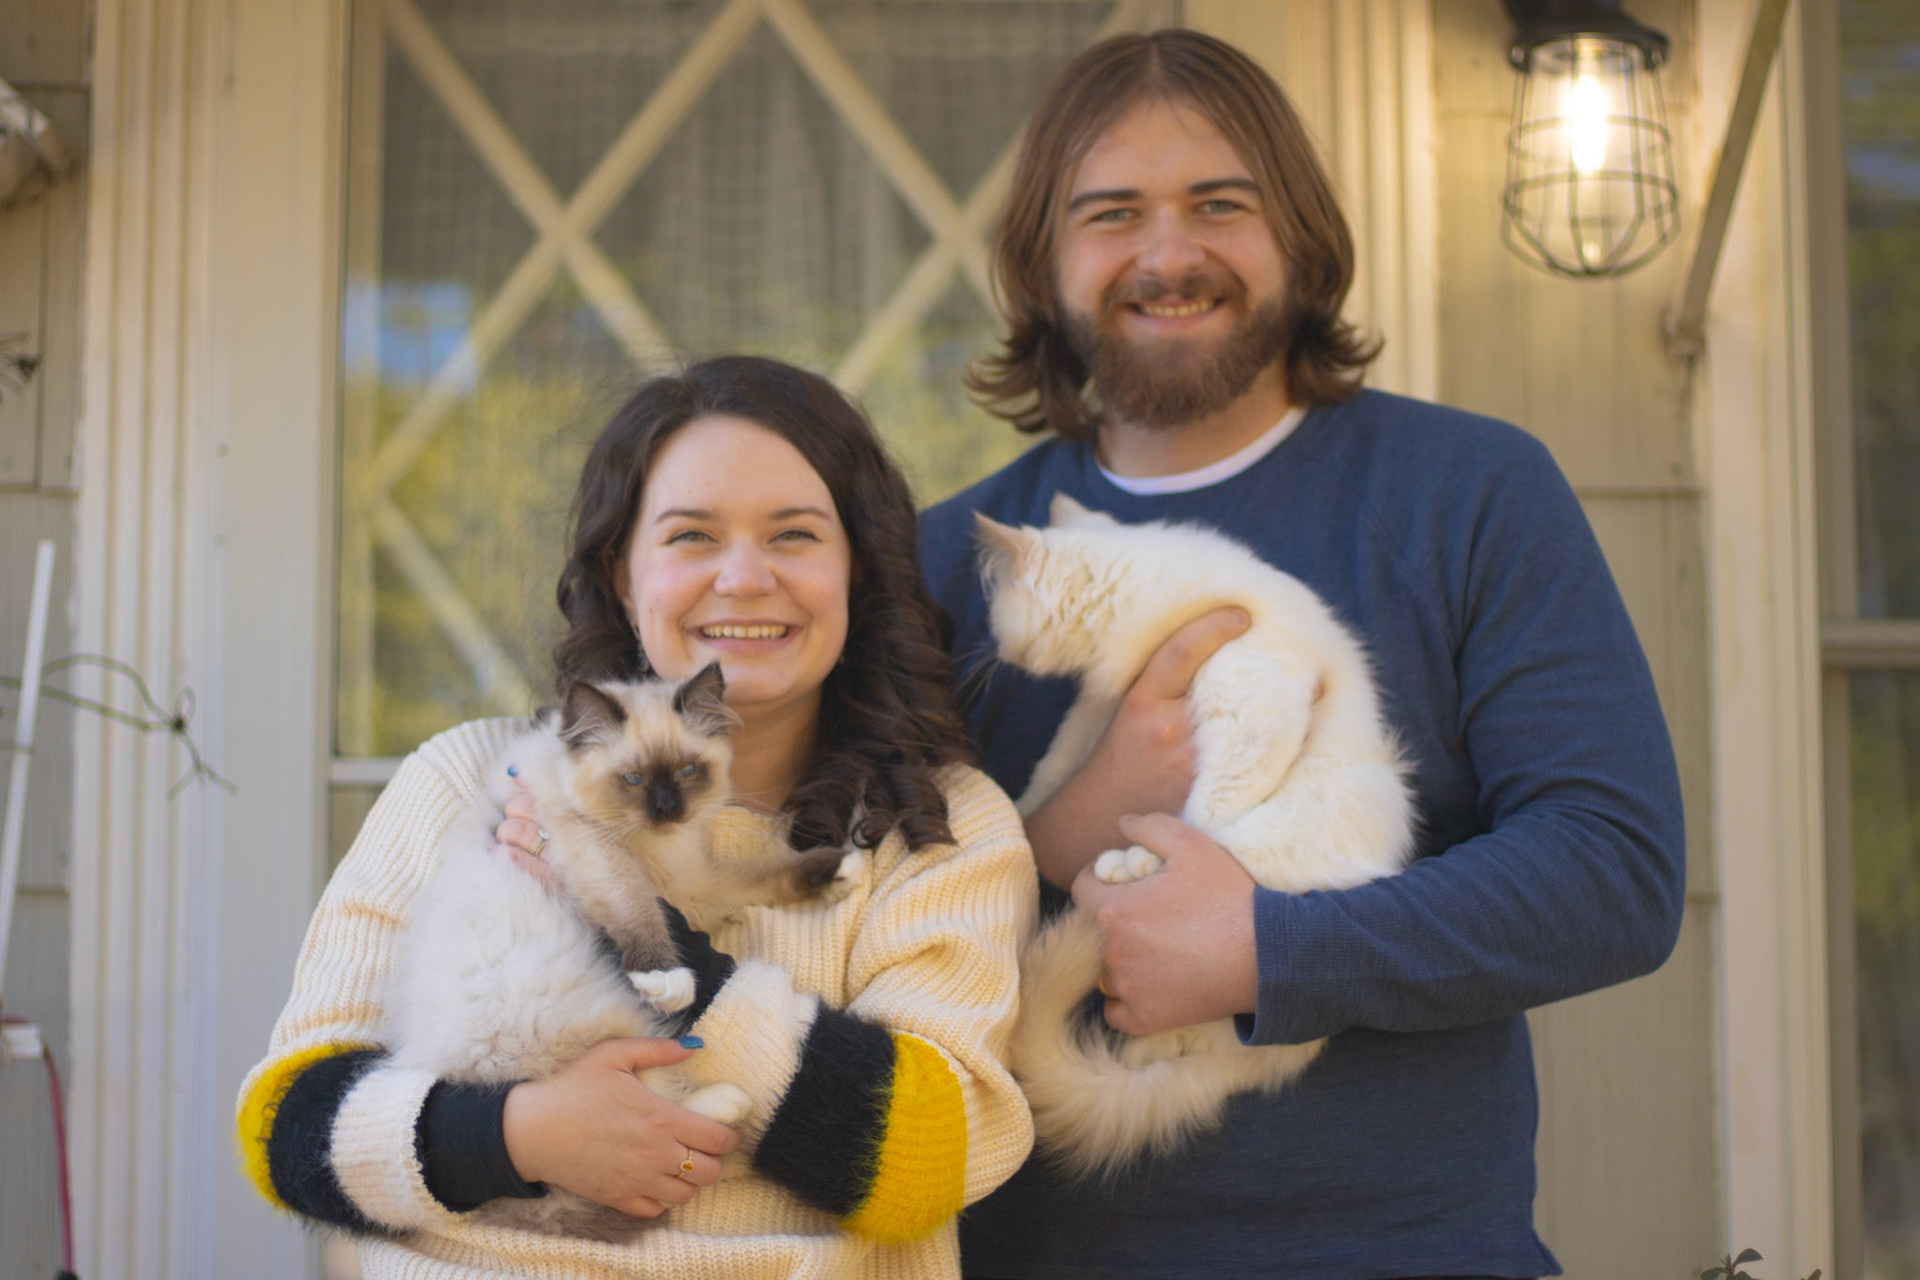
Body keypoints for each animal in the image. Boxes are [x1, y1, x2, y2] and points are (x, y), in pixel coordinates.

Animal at [384, 663, 860, 1241]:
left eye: (687, 772)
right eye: (632, 780)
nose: (666, 810)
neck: (656, 848)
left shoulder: (694, 886)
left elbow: (764, 875)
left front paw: (840, 869)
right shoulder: (596, 852)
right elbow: (638, 911)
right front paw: (666, 978)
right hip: (612, 1028)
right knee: (672, 1113)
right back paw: (729, 1105)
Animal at [974, 494, 1416, 1180]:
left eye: (998, 615)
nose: (995, 650)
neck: (1145, 586)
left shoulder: (1253, 704)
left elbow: (1206, 813)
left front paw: (1157, 863)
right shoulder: (1099, 713)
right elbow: (1055, 769)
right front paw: (1016, 814)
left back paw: (1130, 870)